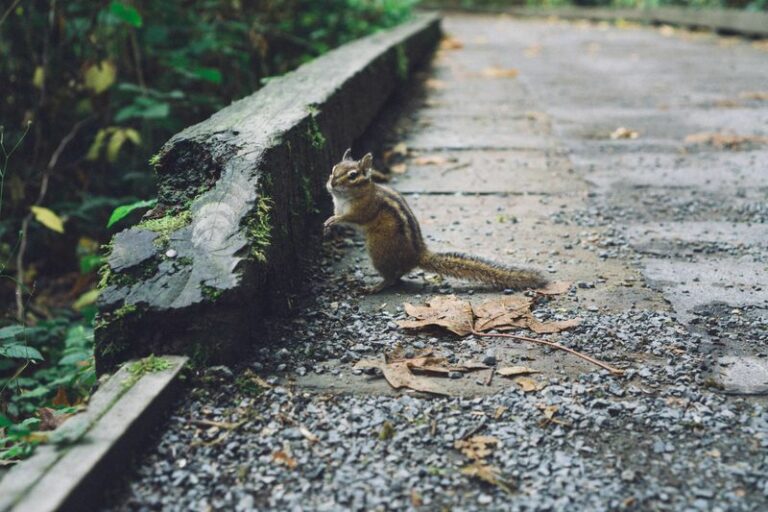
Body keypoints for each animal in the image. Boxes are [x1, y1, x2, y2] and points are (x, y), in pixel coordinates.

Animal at [324, 149, 547, 293]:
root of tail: (418, 255)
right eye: (333, 168)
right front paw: (328, 223)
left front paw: (335, 220)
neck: (345, 198)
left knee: (393, 278)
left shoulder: (366, 208)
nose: (332, 183)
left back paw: (375, 287)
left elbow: (353, 217)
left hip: (378, 250)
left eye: (353, 175)